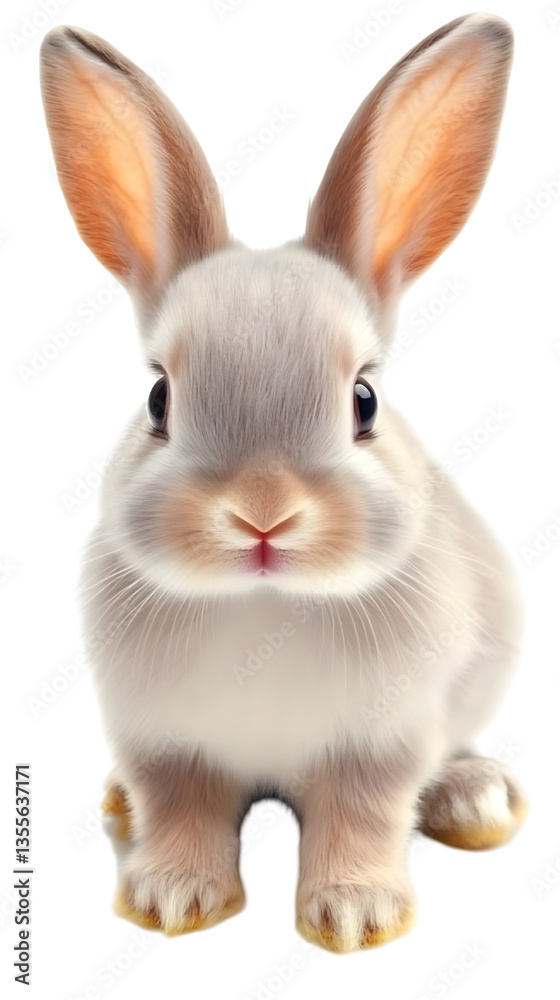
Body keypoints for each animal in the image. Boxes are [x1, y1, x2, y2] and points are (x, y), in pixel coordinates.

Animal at [40, 14, 528, 953]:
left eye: (364, 400)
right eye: (158, 400)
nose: (262, 516)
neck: (262, 607)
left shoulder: (382, 742)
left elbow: (362, 816)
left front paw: (355, 914)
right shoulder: (164, 741)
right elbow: (181, 806)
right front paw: (173, 897)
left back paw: (476, 800)